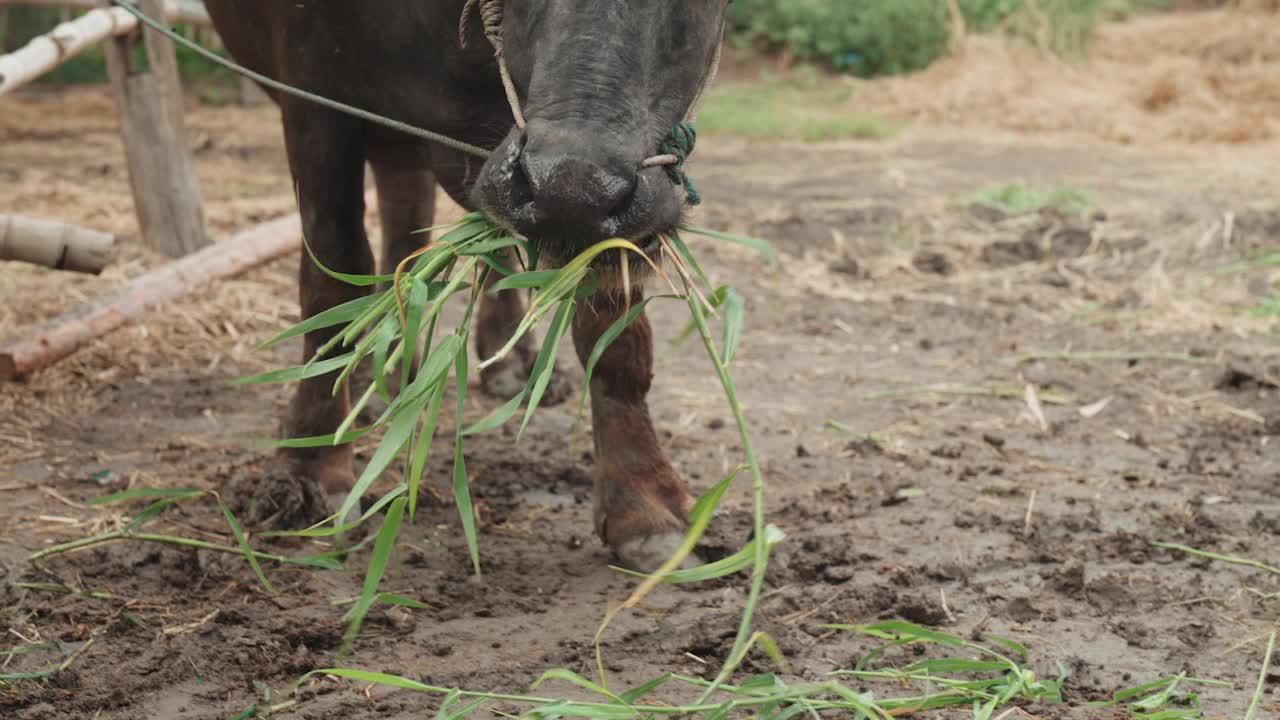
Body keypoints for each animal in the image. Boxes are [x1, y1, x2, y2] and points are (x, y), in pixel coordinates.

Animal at [204, 1, 737, 571]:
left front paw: (644, 508)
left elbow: (615, 334)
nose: (570, 186)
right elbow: (333, 271)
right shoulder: (312, 92)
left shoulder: (618, 211)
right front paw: (311, 466)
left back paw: (490, 364)